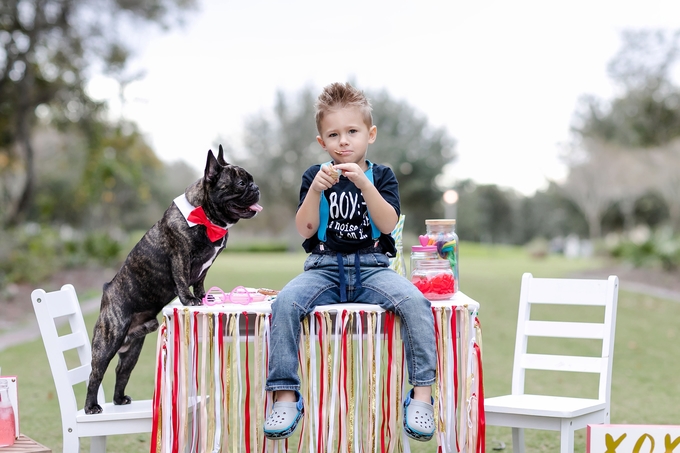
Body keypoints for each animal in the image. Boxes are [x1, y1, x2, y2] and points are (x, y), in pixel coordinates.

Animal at [85, 147, 260, 414]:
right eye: (241, 183)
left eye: (251, 180)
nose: (256, 187)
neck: (206, 216)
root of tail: (107, 292)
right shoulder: (180, 255)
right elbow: (182, 278)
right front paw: (189, 300)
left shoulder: (204, 267)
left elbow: (199, 280)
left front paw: (203, 296)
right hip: (109, 340)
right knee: (96, 373)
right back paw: (91, 407)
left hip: (133, 349)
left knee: (122, 370)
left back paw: (119, 399)